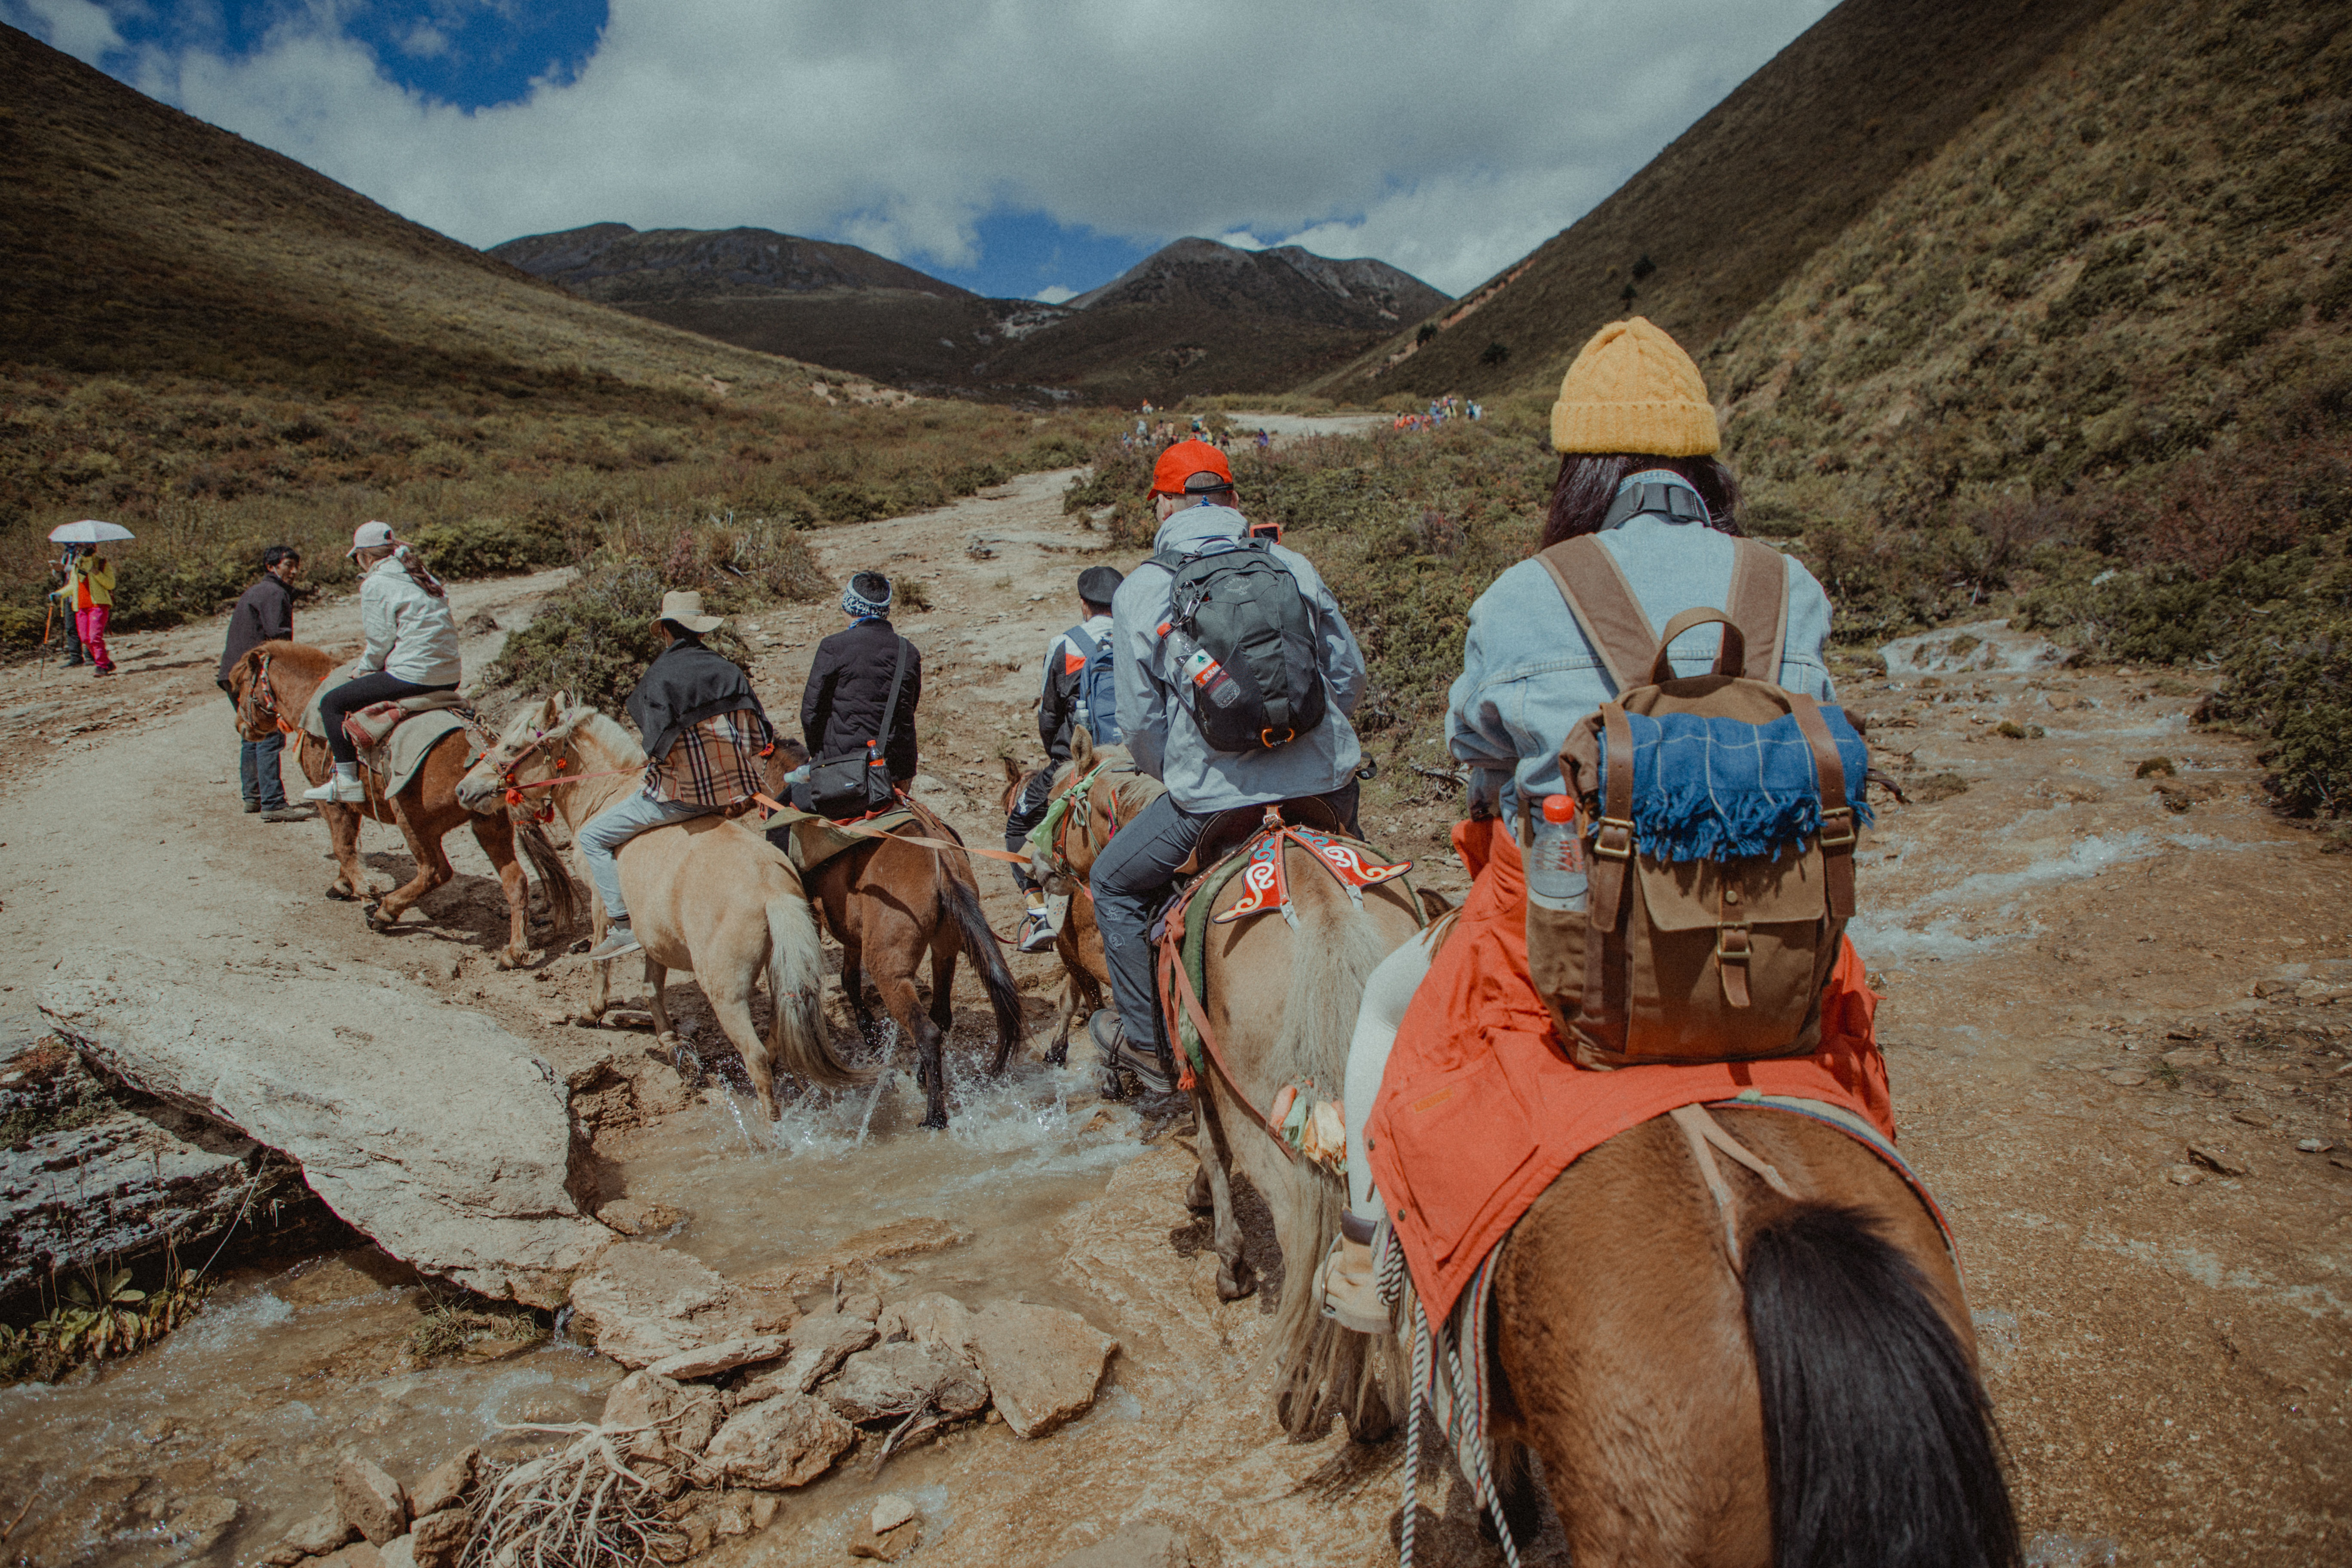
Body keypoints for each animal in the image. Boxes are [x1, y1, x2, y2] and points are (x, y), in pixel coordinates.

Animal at [227, 639, 576, 968]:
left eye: (241, 685)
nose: (241, 727)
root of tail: (484, 748)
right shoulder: (352, 808)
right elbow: (348, 845)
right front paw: (344, 884)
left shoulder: (331, 801)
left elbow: (343, 846)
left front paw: (363, 890)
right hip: (488, 824)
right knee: (515, 880)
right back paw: (514, 952)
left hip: (413, 820)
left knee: (435, 871)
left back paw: (384, 913)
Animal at [454, 695, 870, 1114]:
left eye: (510, 748)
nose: (463, 790)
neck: (606, 793)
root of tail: (773, 892)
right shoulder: (653, 931)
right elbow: (651, 986)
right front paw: (670, 1042)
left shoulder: (600, 901)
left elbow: (601, 955)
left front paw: (593, 1010)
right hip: (782, 975)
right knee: (775, 1037)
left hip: (726, 993)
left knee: (755, 1059)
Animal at [1044, 729, 1411, 1439]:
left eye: (1055, 798)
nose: (1039, 871)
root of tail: (1325, 913)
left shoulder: (1201, 1069)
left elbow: (1212, 1151)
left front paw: (1229, 1262)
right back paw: (1376, 1393)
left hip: (1269, 1120)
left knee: (1302, 1230)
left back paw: (1307, 1390)